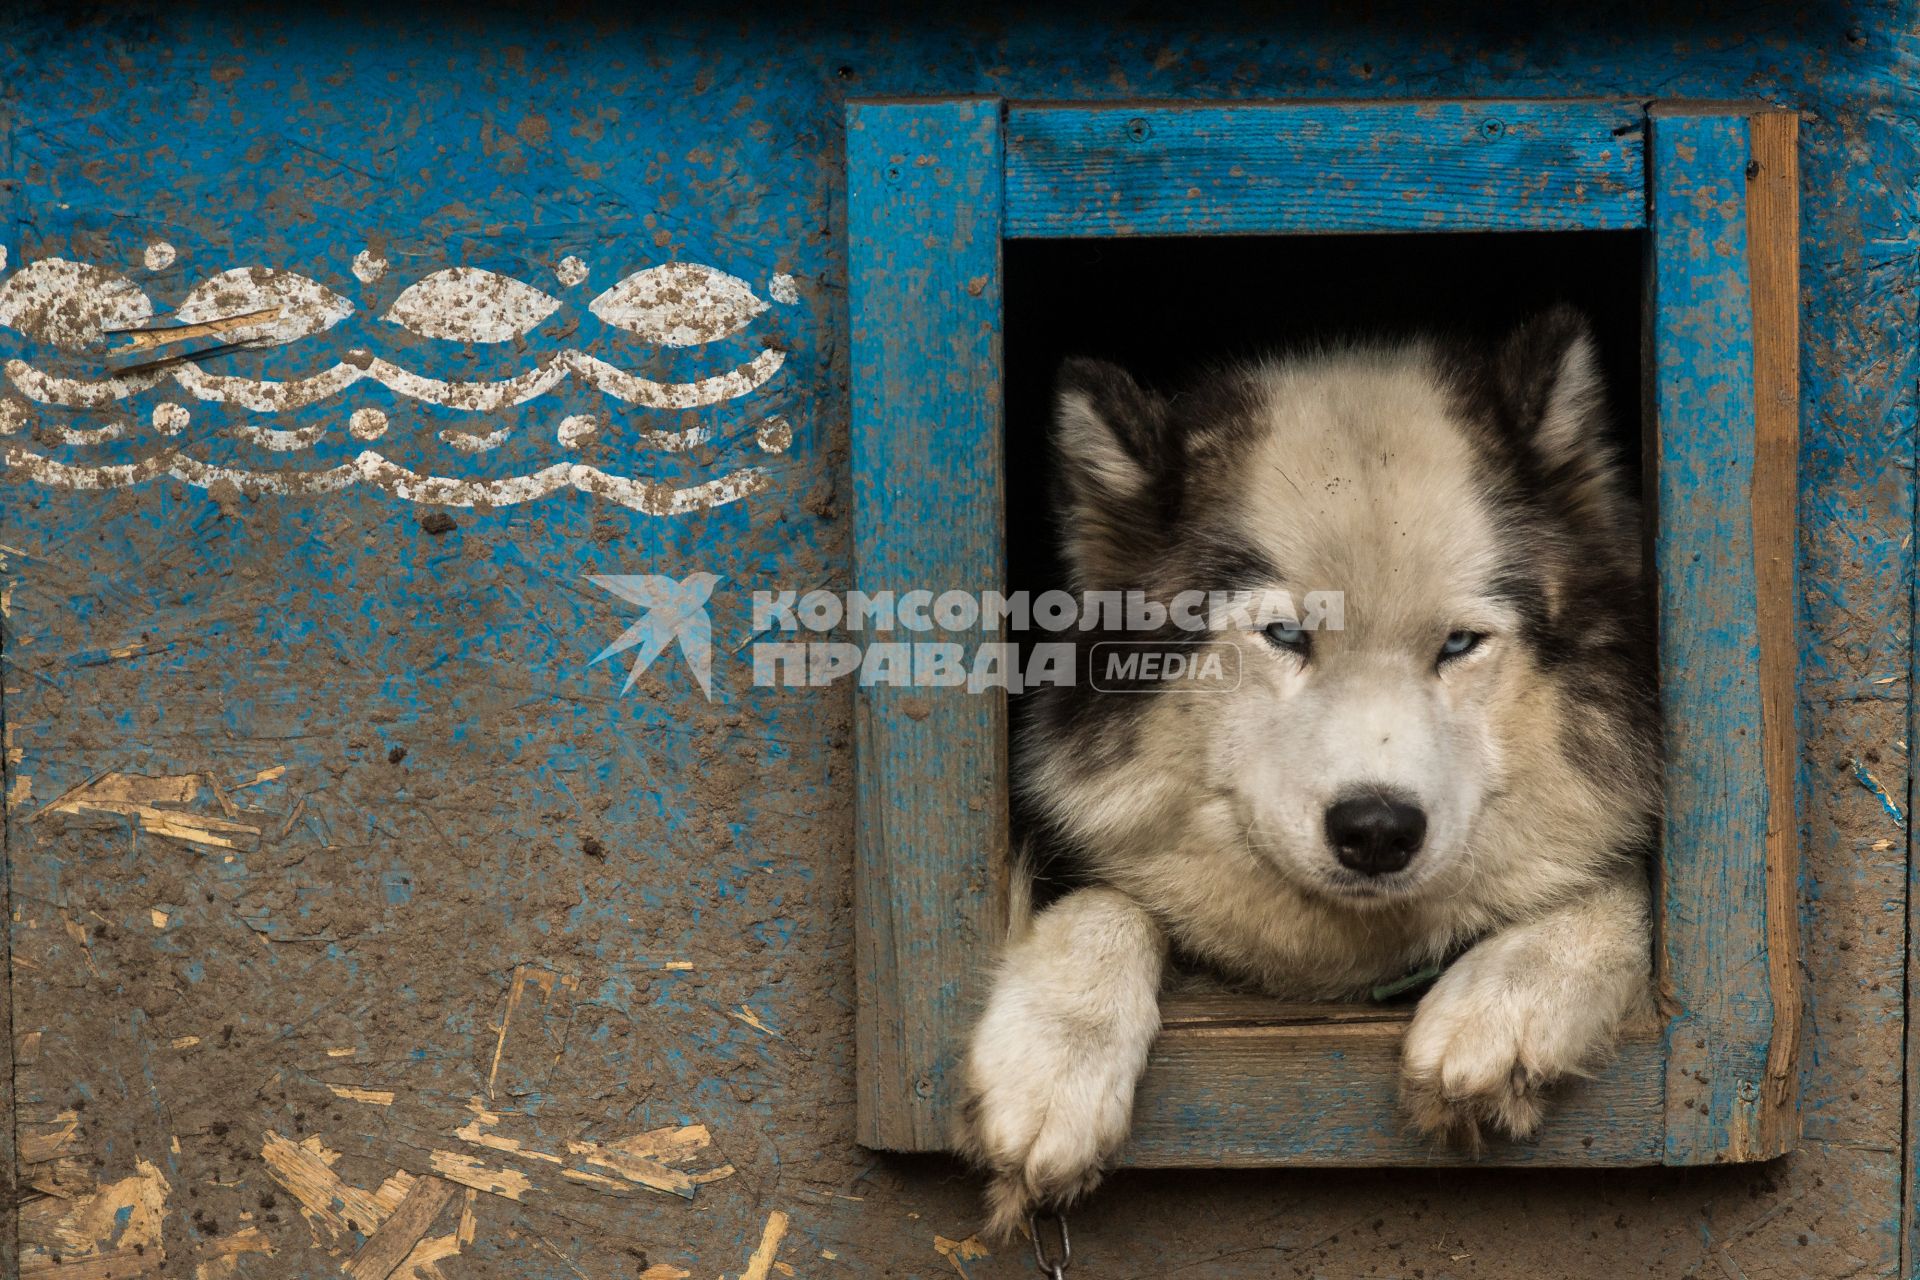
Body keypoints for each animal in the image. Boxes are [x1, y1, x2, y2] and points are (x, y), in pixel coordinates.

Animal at [960, 305, 1666, 1235]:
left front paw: (1510, 995)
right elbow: (1107, 901)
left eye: (1458, 644)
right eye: (1286, 636)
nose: (1377, 830)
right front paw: (1055, 1064)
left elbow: (1626, 887)